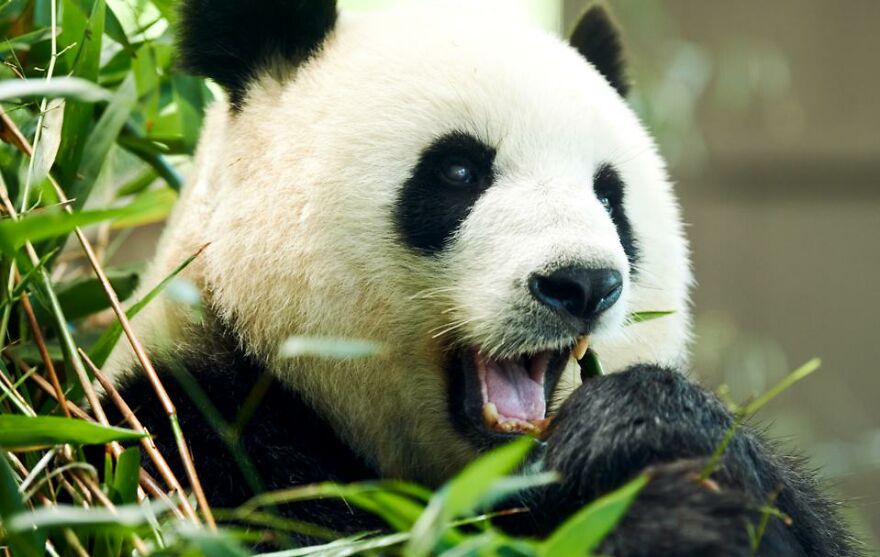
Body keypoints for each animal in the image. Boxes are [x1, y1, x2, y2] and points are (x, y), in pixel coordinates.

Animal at [102, 1, 859, 555]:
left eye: (609, 196)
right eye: (460, 170)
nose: (582, 284)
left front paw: (648, 430)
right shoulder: (195, 440)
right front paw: (665, 517)